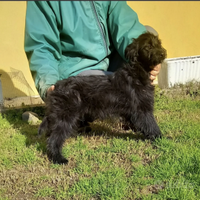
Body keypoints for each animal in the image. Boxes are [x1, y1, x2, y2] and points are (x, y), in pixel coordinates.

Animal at [38, 31, 167, 164]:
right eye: (147, 47)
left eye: (158, 44)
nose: (163, 53)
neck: (137, 71)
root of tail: (57, 87)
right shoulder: (143, 110)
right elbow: (152, 126)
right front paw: (162, 139)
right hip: (65, 116)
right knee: (54, 139)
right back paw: (58, 158)